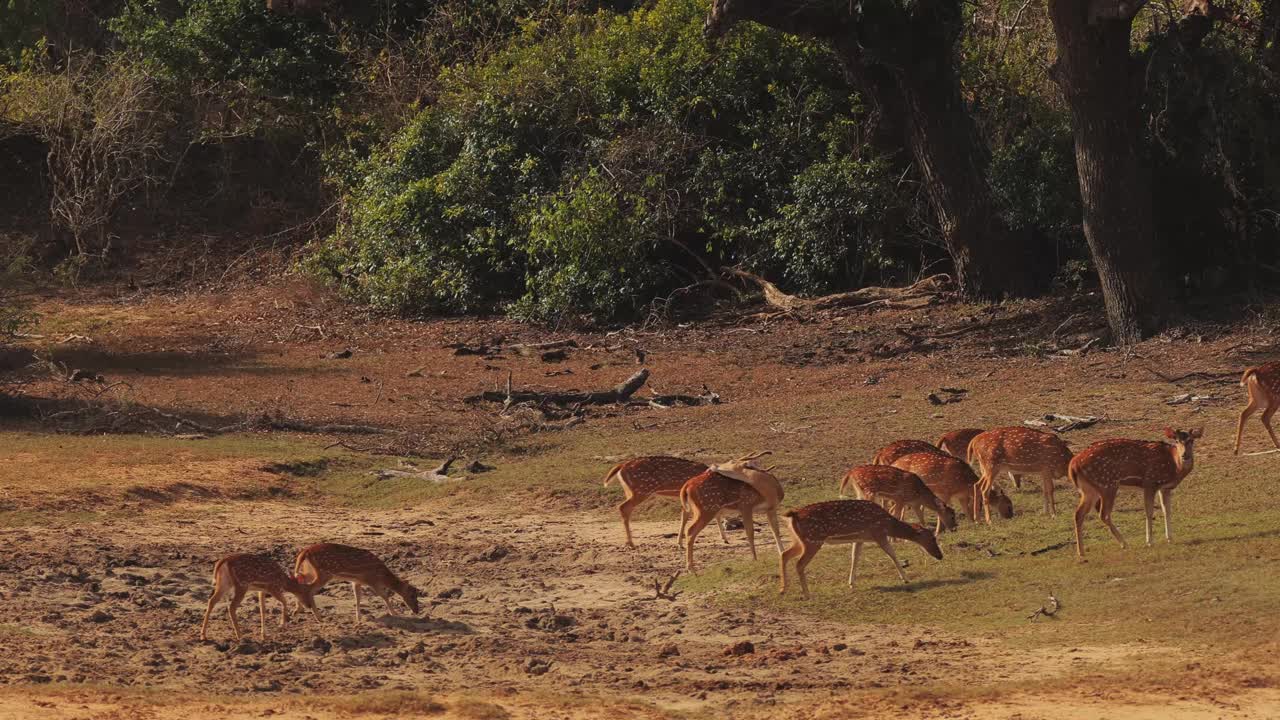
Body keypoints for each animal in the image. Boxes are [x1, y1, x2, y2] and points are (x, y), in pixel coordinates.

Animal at [293, 540, 422, 620]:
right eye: (412, 595)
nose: (416, 611)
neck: (381, 575)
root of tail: (305, 552)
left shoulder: (357, 581)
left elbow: (358, 598)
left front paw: (358, 618)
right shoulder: (372, 580)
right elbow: (384, 595)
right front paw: (394, 613)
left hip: (310, 570)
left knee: (300, 580)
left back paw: (298, 610)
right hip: (324, 573)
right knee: (309, 589)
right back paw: (318, 617)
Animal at [599, 456, 732, 545]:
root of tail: (620, 467)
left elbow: (685, 516)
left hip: (629, 491)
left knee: (626, 508)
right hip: (641, 490)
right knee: (623, 507)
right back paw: (631, 543)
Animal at [773, 497, 947, 597]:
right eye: (932, 538)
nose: (940, 555)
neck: (888, 524)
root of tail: (793, 515)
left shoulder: (861, 538)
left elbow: (854, 557)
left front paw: (851, 583)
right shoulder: (878, 533)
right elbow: (892, 554)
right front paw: (905, 578)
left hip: (799, 540)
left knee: (784, 554)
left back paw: (783, 589)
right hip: (813, 540)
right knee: (799, 563)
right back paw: (807, 593)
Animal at [1070, 422, 1198, 558]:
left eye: (1191, 440)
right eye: (1177, 441)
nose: (1185, 455)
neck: (1174, 467)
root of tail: (1072, 465)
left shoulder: (1165, 488)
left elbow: (1167, 510)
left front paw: (1170, 538)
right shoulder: (1150, 482)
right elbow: (1149, 512)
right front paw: (1149, 542)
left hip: (1089, 490)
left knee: (1079, 513)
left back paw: (1081, 552)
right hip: (1107, 484)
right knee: (1103, 514)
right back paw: (1124, 544)